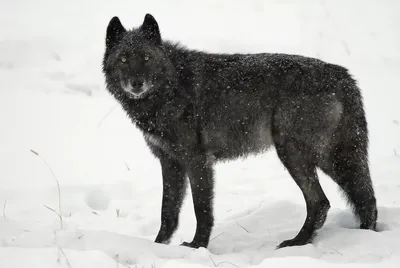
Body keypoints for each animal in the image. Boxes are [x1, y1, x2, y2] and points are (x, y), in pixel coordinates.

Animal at [101, 14, 376, 249]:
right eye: (123, 59)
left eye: (146, 58)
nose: (137, 83)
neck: (171, 87)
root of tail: (342, 75)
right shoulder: (170, 162)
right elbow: (167, 213)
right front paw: (159, 247)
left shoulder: (197, 161)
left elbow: (201, 209)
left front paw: (197, 246)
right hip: (322, 157)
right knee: (354, 198)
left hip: (300, 154)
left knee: (326, 201)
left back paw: (301, 242)